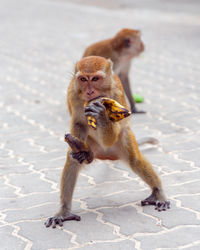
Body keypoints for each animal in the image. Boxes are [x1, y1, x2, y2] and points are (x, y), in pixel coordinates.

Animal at [44, 55, 170, 228]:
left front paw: (102, 115)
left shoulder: (116, 94)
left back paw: (158, 193)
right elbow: (78, 123)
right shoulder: (73, 93)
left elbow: (114, 130)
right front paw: (78, 147)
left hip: (122, 141)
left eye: (95, 79)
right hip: (92, 144)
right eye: (83, 79)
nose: (90, 91)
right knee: (72, 162)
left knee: (134, 159)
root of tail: (105, 154)